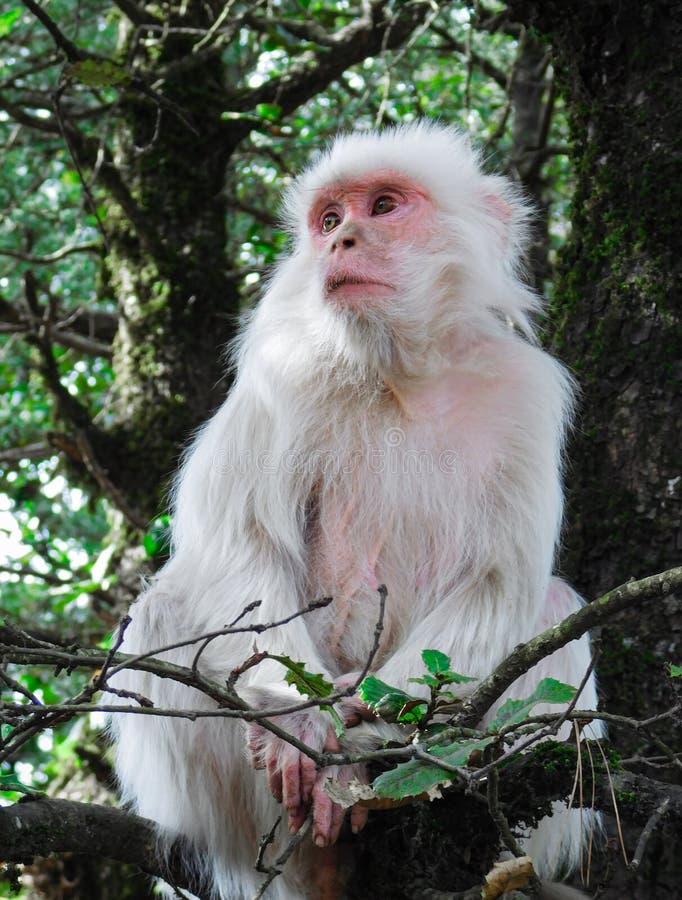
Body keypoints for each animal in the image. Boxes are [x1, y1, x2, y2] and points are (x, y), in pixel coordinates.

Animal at [110, 125, 596, 900]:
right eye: (331, 219)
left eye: (385, 206)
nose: (342, 242)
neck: (402, 372)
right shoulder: (285, 368)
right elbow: (240, 547)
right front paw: (301, 720)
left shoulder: (524, 391)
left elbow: (496, 584)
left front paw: (360, 721)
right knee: (167, 607)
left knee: (550, 612)